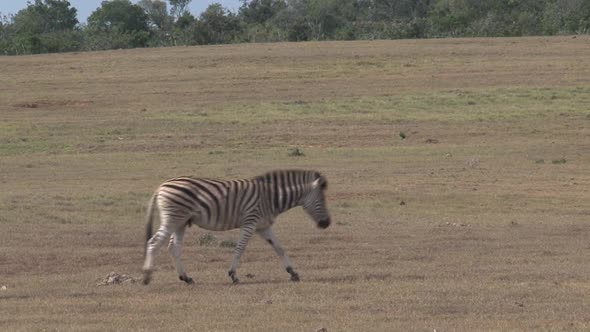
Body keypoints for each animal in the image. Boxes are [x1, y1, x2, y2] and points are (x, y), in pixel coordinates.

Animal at [141, 170, 330, 284]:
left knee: (173, 247)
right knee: (153, 242)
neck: (270, 198)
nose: (326, 223)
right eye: (322, 199)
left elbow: (279, 247)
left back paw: (186, 277)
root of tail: (160, 187)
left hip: (180, 222)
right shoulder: (250, 222)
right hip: (173, 218)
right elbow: (240, 248)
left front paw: (293, 273)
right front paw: (233, 275)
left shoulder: (263, 226)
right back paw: (147, 276)